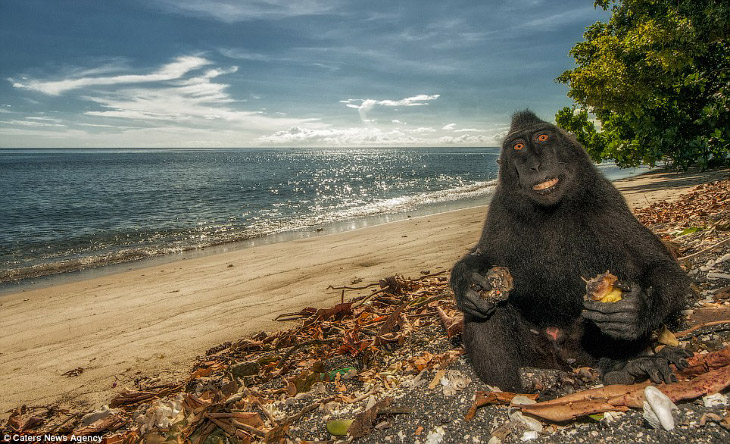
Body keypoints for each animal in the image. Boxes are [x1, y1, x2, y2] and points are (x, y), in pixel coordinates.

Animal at [450, 111, 688, 392]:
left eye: (542, 138)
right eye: (518, 147)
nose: (535, 166)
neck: (550, 211)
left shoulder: (606, 201)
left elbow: (660, 267)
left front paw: (636, 312)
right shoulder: (500, 210)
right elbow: (485, 256)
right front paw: (466, 280)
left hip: (582, 348)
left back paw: (625, 368)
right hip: (537, 354)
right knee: (488, 313)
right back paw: (513, 390)